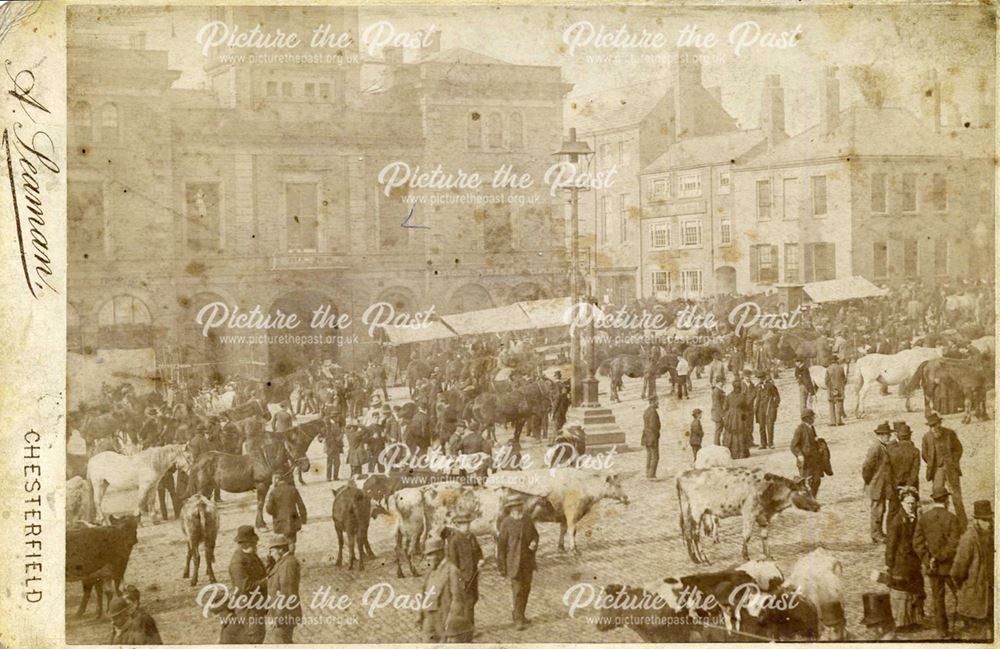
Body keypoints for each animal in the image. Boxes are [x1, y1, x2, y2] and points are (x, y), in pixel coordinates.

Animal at [182, 422, 318, 528]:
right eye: (296, 449)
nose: (307, 466)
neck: (265, 461)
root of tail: (198, 460)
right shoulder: (261, 485)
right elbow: (260, 504)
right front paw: (260, 524)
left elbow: (261, 503)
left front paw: (261, 523)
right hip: (203, 488)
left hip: (208, 487)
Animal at [676, 468, 824, 564]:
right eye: (803, 492)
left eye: (810, 491)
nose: (818, 506)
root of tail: (683, 474)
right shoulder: (749, 513)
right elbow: (747, 535)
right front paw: (745, 556)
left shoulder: (763, 516)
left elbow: (764, 536)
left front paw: (768, 555)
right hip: (697, 511)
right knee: (695, 534)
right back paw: (704, 558)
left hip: (688, 510)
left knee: (688, 533)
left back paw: (694, 558)